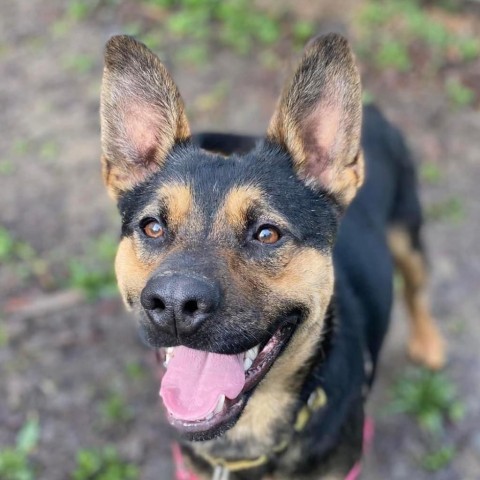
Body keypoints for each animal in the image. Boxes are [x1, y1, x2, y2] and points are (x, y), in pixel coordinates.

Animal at [98, 31, 446, 478]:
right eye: (152, 227)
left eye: (267, 233)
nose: (174, 304)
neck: (242, 446)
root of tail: (372, 110)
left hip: (408, 236)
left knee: (417, 288)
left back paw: (428, 341)